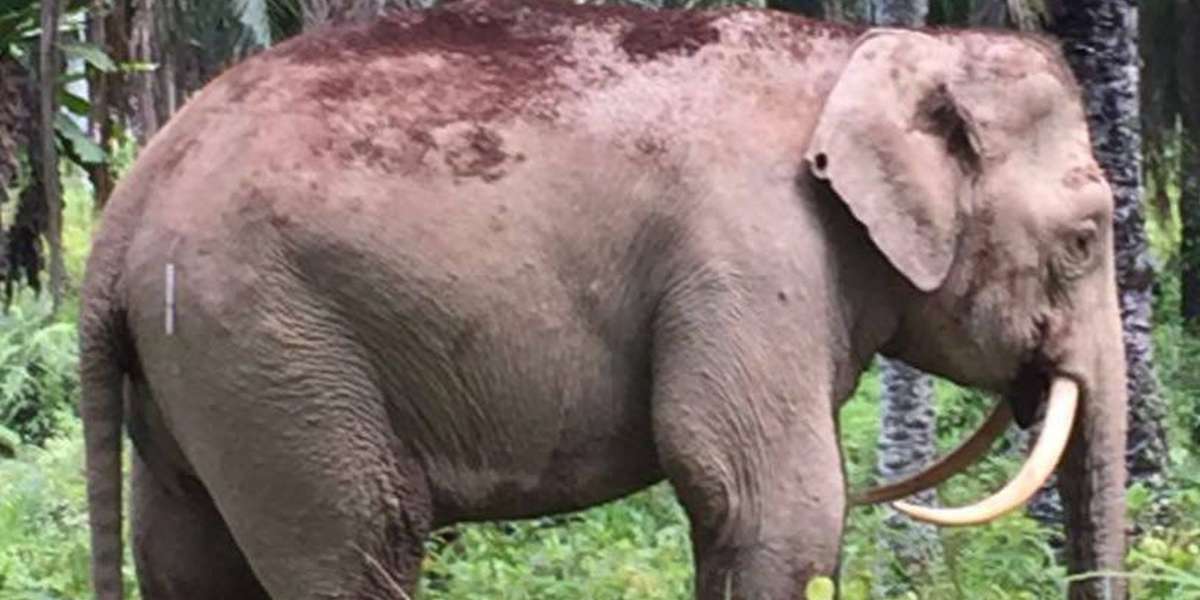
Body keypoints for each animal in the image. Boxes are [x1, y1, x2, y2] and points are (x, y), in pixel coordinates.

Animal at [78, 1, 1129, 599]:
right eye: (1086, 236)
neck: (869, 51)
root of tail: (124, 212)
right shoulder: (749, 253)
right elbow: (765, 498)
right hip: (270, 341)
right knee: (360, 540)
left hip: (199, 364)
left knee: (186, 551)